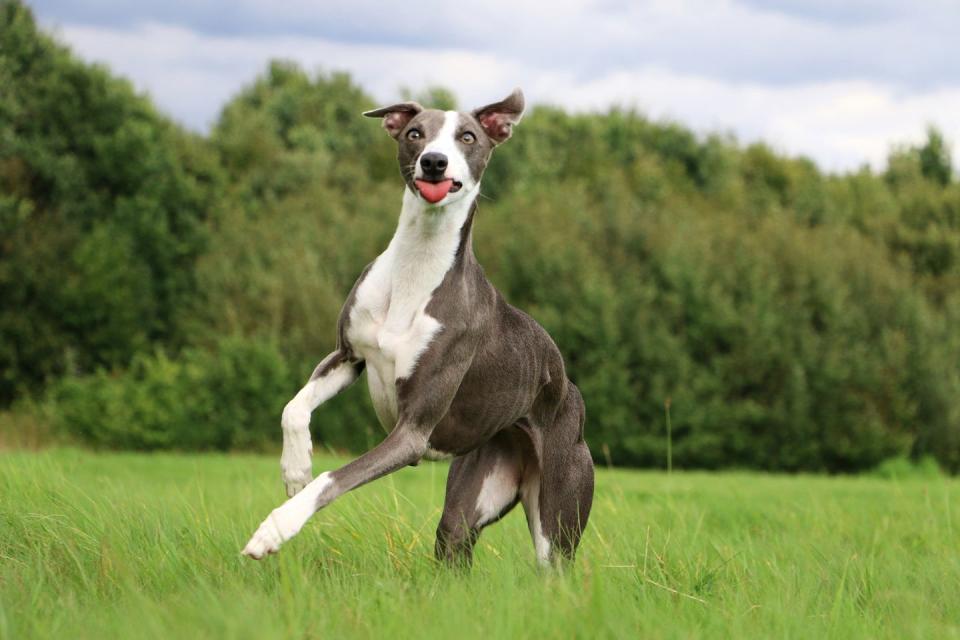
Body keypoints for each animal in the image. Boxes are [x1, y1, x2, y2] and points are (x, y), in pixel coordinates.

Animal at [242, 87, 592, 564]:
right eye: (414, 132)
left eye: (467, 136)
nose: (434, 162)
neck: (416, 267)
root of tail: (569, 391)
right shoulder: (349, 357)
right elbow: (293, 407)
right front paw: (295, 469)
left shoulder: (410, 434)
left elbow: (333, 478)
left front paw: (276, 527)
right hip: (467, 505)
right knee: (455, 539)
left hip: (557, 520)